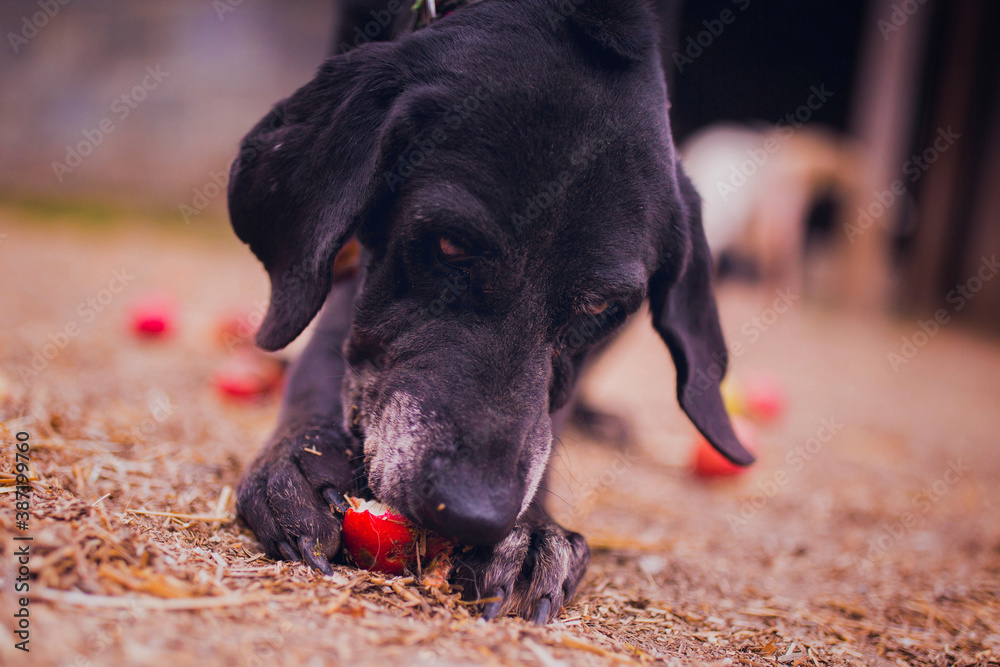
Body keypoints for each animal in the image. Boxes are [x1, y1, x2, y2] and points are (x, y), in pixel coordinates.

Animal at [229, 0, 752, 628]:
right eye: (449, 245)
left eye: (602, 306)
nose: (472, 512)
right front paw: (304, 456)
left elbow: (551, 413)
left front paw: (530, 532)